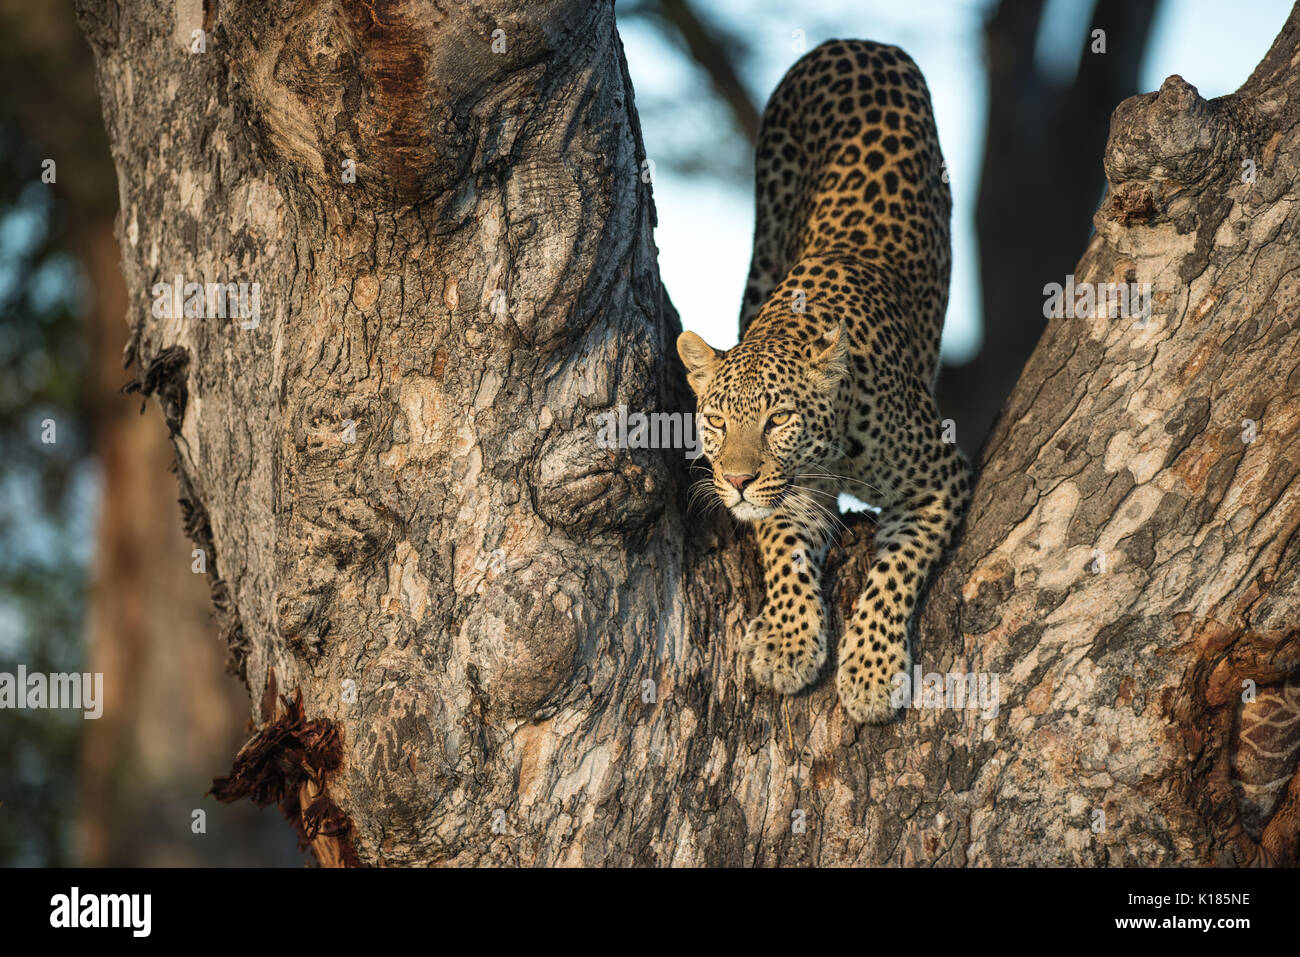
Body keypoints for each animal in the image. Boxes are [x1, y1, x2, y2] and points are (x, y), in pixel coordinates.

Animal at [677, 39, 972, 724]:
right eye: (717, 420)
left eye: (778, 418)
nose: (735, 480)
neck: (837, 447)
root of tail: (858, 42)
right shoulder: (788, 497)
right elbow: (783, 550)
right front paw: (787, 643)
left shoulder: (939, 480)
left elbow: (895, 570)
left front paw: (870, 672)